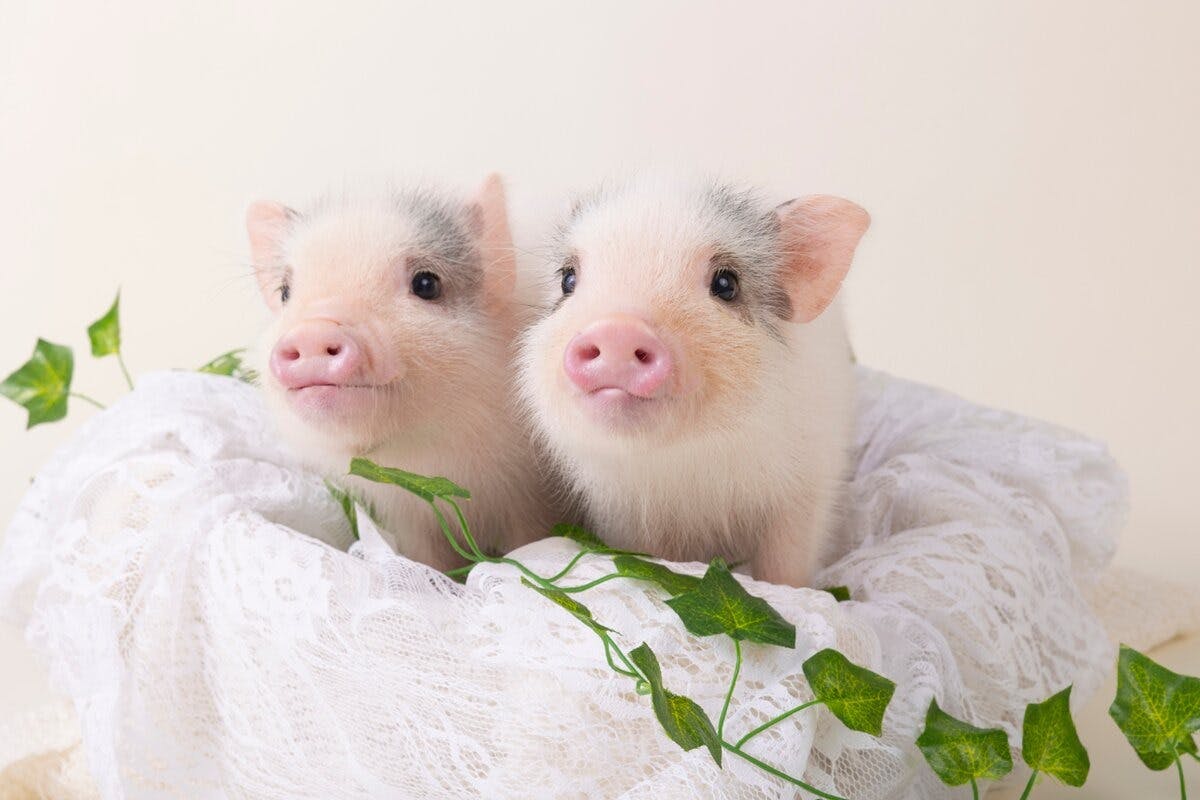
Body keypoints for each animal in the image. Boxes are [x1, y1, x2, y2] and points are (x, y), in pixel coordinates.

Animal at [246, 175, 552, 569]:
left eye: (426, 284)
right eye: (285, 292)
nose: (314, 330)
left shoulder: (529, 499)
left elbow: (531, 546)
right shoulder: (408, 516)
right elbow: (426, 560)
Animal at [517, 174, 869, 587]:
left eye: (726, 283)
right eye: (568, 280)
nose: (617, 329)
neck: (690, 472)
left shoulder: (808, 484)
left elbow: (785, 565)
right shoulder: (621, 511)